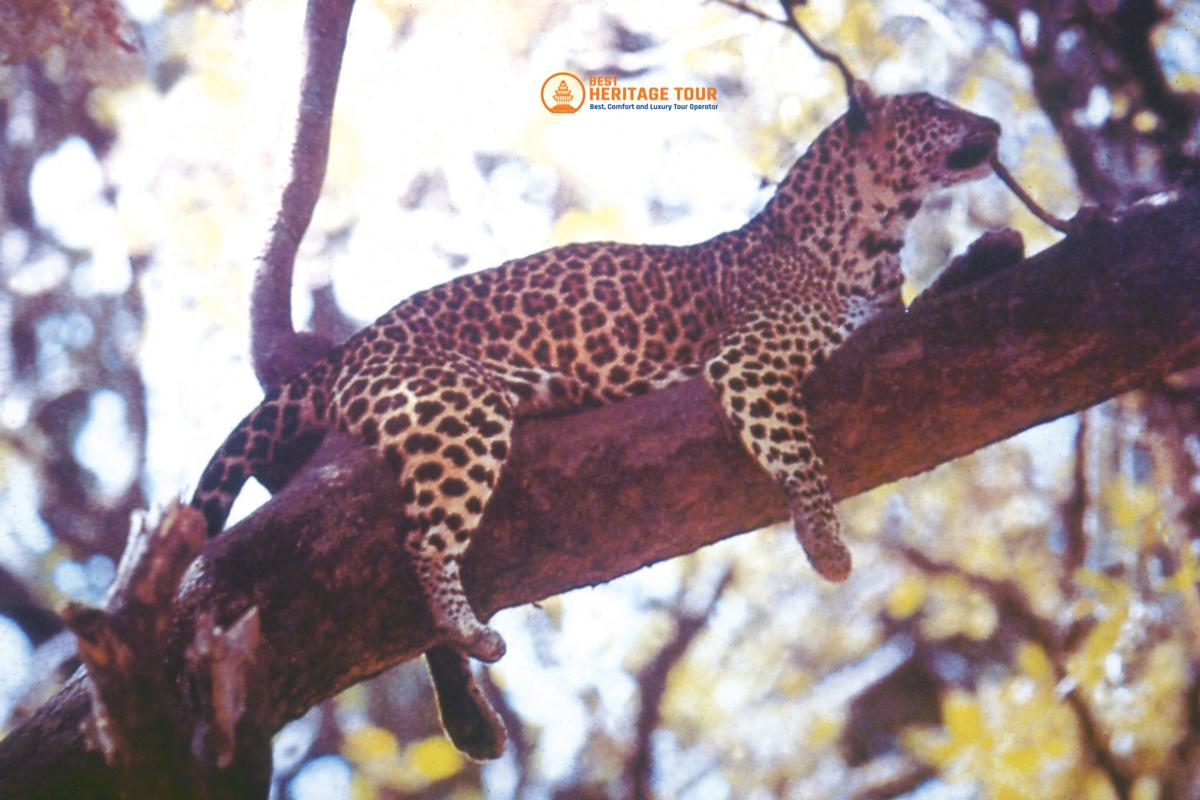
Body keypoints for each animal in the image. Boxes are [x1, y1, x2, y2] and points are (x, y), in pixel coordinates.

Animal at [192, 86, 998, 662]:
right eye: (935, 108)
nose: (991, 121)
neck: (877, 235)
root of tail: (350, 346)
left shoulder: (881, 317)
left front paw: (988, 252)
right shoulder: (748, 356)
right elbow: (799, 451)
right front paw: (826, 542)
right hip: (455, 404)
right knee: (424, 541)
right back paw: (465, 628)